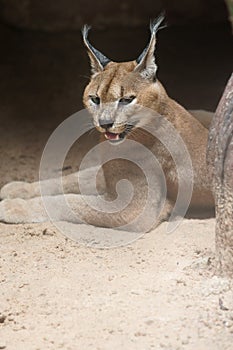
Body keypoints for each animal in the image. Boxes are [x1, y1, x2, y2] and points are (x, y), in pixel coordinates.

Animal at [0, 15, 214, 231]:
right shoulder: (106, 172)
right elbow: (71, 178)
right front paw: (19, 188)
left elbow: (72, 202)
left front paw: (14, 206)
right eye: (95, 99)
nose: (105, 123)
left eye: (126, 100)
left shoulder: (134, 207)